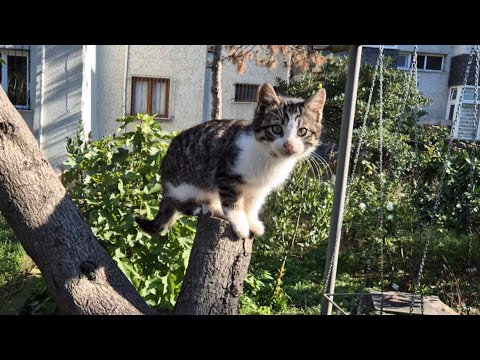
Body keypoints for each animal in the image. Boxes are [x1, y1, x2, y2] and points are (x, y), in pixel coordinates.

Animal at [135, 83, 326, 238]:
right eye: (276, 129)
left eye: (302, 131)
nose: (289, 145)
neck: (270, 160)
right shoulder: (226, 172)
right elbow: (232, 201)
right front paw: (240, 224)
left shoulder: (260, 188)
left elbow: (253, 205)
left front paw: (252, 221)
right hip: (183, 185)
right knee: (179, 202)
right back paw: (202, 208)